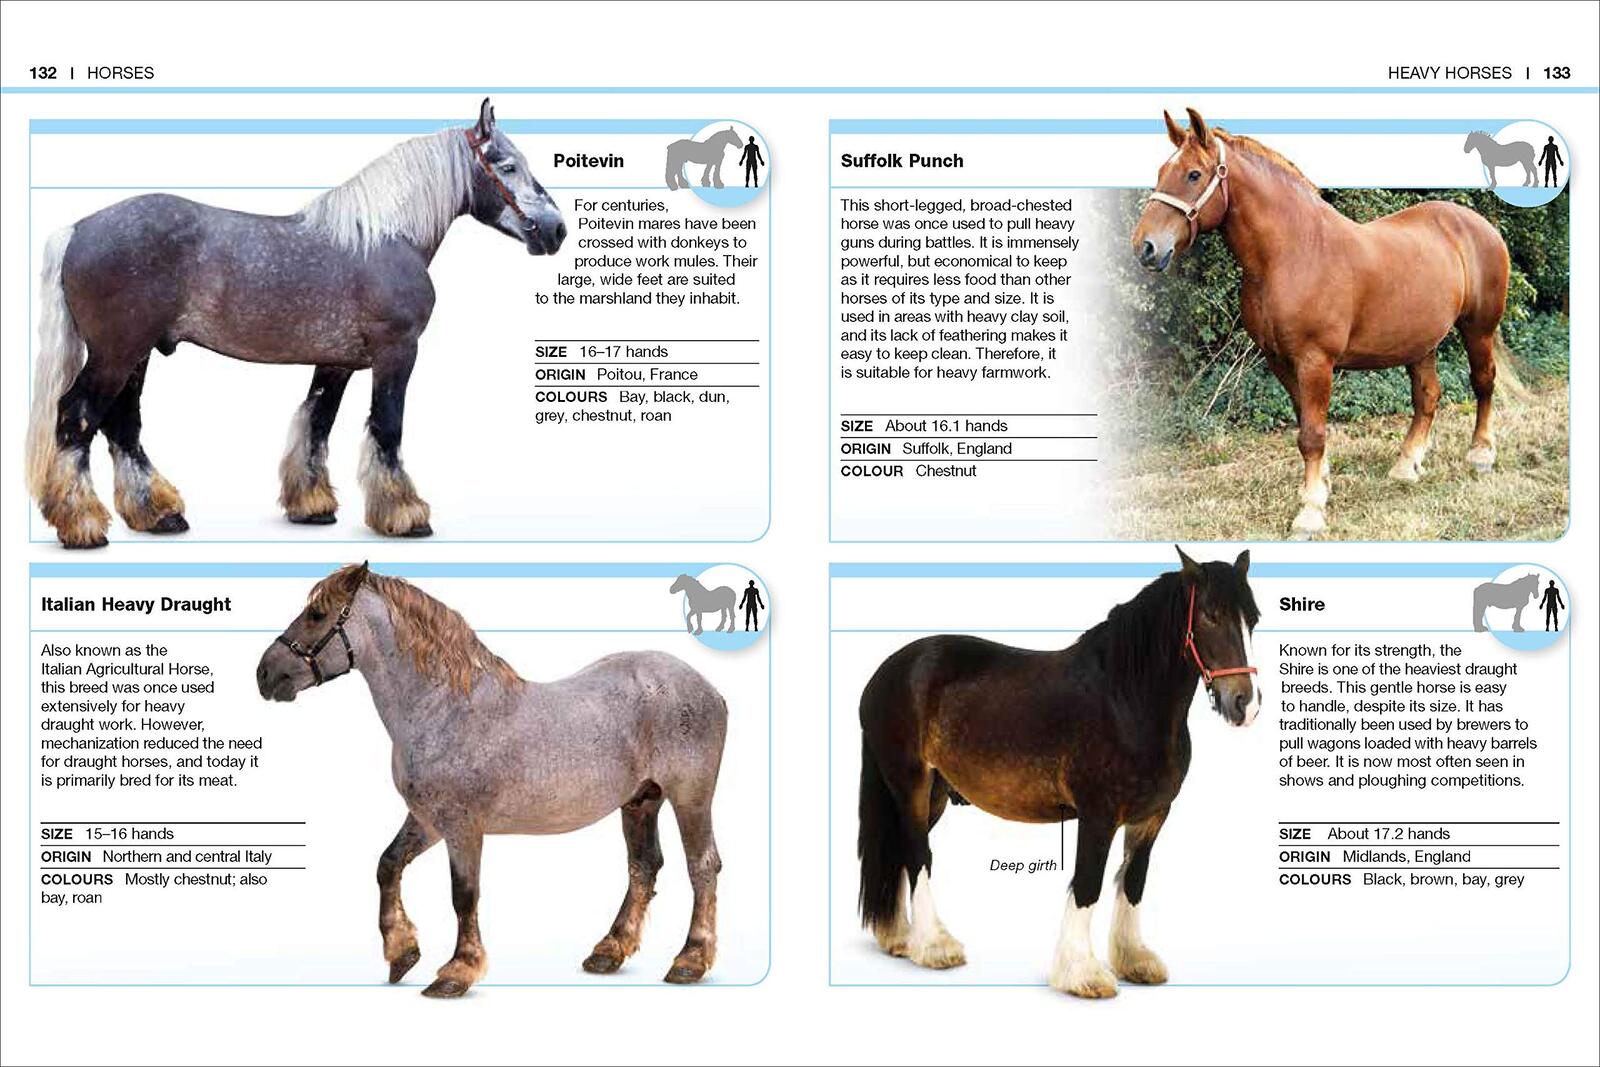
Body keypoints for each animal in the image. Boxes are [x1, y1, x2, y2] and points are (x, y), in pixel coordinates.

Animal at [25, 99, 566, 548]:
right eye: (508, 166)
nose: (556, 231)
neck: (385, 239)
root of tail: (78, 229)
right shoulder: (397, 353)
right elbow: (387, 427)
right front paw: (405, 515)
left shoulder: (337, 363)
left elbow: (316, 424)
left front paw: (312, 507)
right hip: (116, 354)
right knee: (77, 417)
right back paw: (82, 524)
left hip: (135, 355)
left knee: (122, 426)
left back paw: (157, 515)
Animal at [255, 563, 727, 996]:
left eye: (317, 614)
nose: (265, 674)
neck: (444, 707)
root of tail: (708, 687)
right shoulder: (427, 821)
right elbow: (388, 866)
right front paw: (402, 952)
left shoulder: (463, 827)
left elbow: (464, 894)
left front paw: (457, 971)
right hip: (641, 800)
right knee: (643, 867)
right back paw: (608, 951)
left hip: (690, 798)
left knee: (702, 866)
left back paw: (690, 960)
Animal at [857, 548, 1260, 998]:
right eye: (1209, 615)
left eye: (1253, 619)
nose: (1244, 704)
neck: (1125, 700)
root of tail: (885, 673)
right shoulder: (1099, 815)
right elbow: (1087, 884)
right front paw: (1082, 973)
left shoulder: (1152, 816)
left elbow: (1133, 882)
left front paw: (1134, 960)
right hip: (910, 783)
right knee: (917, 855)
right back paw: (934, 946)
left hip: (934, 794)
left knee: (900, 851)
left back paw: (899, 938)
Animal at [1132, 109, 1514, 540]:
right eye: (1162, 170)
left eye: (1194, 174)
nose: (1146, 247)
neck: (1293, 252)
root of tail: (1479, 225)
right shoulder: (1280, 360)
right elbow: (1306, 425)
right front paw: (1321, 486)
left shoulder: (1315, 360)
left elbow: (1312, 435)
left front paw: (1310, 512)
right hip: (1421, 342)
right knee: (1428, 397)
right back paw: (1406, 466)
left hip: (1478, 328)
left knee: (1482, 383)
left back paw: (1481, 455)